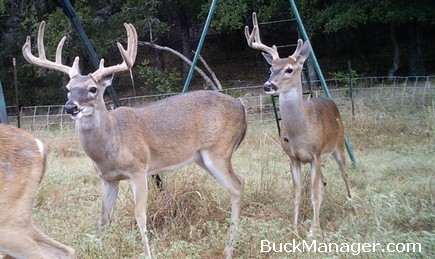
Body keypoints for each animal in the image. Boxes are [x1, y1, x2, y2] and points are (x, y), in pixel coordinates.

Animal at [23, 21, 249, 258]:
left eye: (93, 89)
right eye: (68, 89)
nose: (70, 107)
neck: (111, 145)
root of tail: (241, 107)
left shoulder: (139, 169)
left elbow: (140, 216)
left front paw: (149, 254)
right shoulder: (108, 179)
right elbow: (103, 218)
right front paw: (98, 249)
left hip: (219, 150)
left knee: (236, 185)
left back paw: (229, 248)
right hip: (201, 158)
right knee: (238, 183)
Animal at [245, 13, 350, 238]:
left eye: (289, 69)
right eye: (271, 68)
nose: (268, 85)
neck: (300, 133)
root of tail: (329, 100)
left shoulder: (316, 154)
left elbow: (313, 194)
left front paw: (315, 231)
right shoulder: (293, 158)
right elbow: (297, 194)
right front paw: (295, 230)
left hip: (338, 145)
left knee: (344, 175)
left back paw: (351, 203)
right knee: (324, 183)